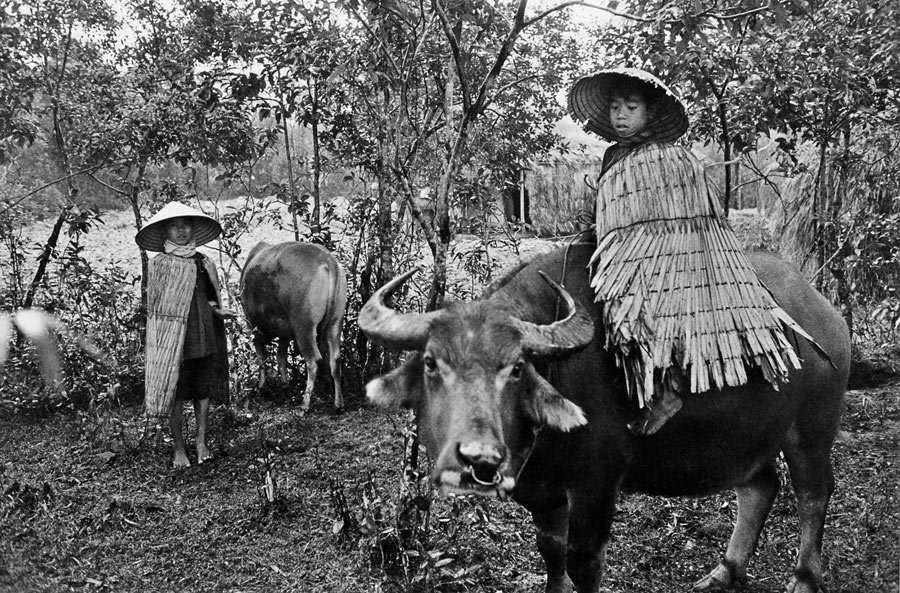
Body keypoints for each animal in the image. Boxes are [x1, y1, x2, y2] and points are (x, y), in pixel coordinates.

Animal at [239, 240, 348, 412]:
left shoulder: (252, 325)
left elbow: (261, 356)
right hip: (335, 323)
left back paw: (304, 405)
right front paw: (284, 384)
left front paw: (262, 386)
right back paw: (338, 403)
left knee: (314, 360)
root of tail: (328, 260)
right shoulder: (285, 332)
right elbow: (281, 356)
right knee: (335, 360)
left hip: (304, 327)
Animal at [360, 243, 852, 592]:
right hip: (745, 439)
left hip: (811, 432)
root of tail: (826, 313)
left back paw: (804, 580)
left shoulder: (598, 483)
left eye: (516, 368)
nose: (476, 456)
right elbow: (552, 555)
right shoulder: (544, 493)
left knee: (813, 494)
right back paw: (725, 571)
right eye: (430, 363)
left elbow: (583, 562)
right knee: (760, 487)